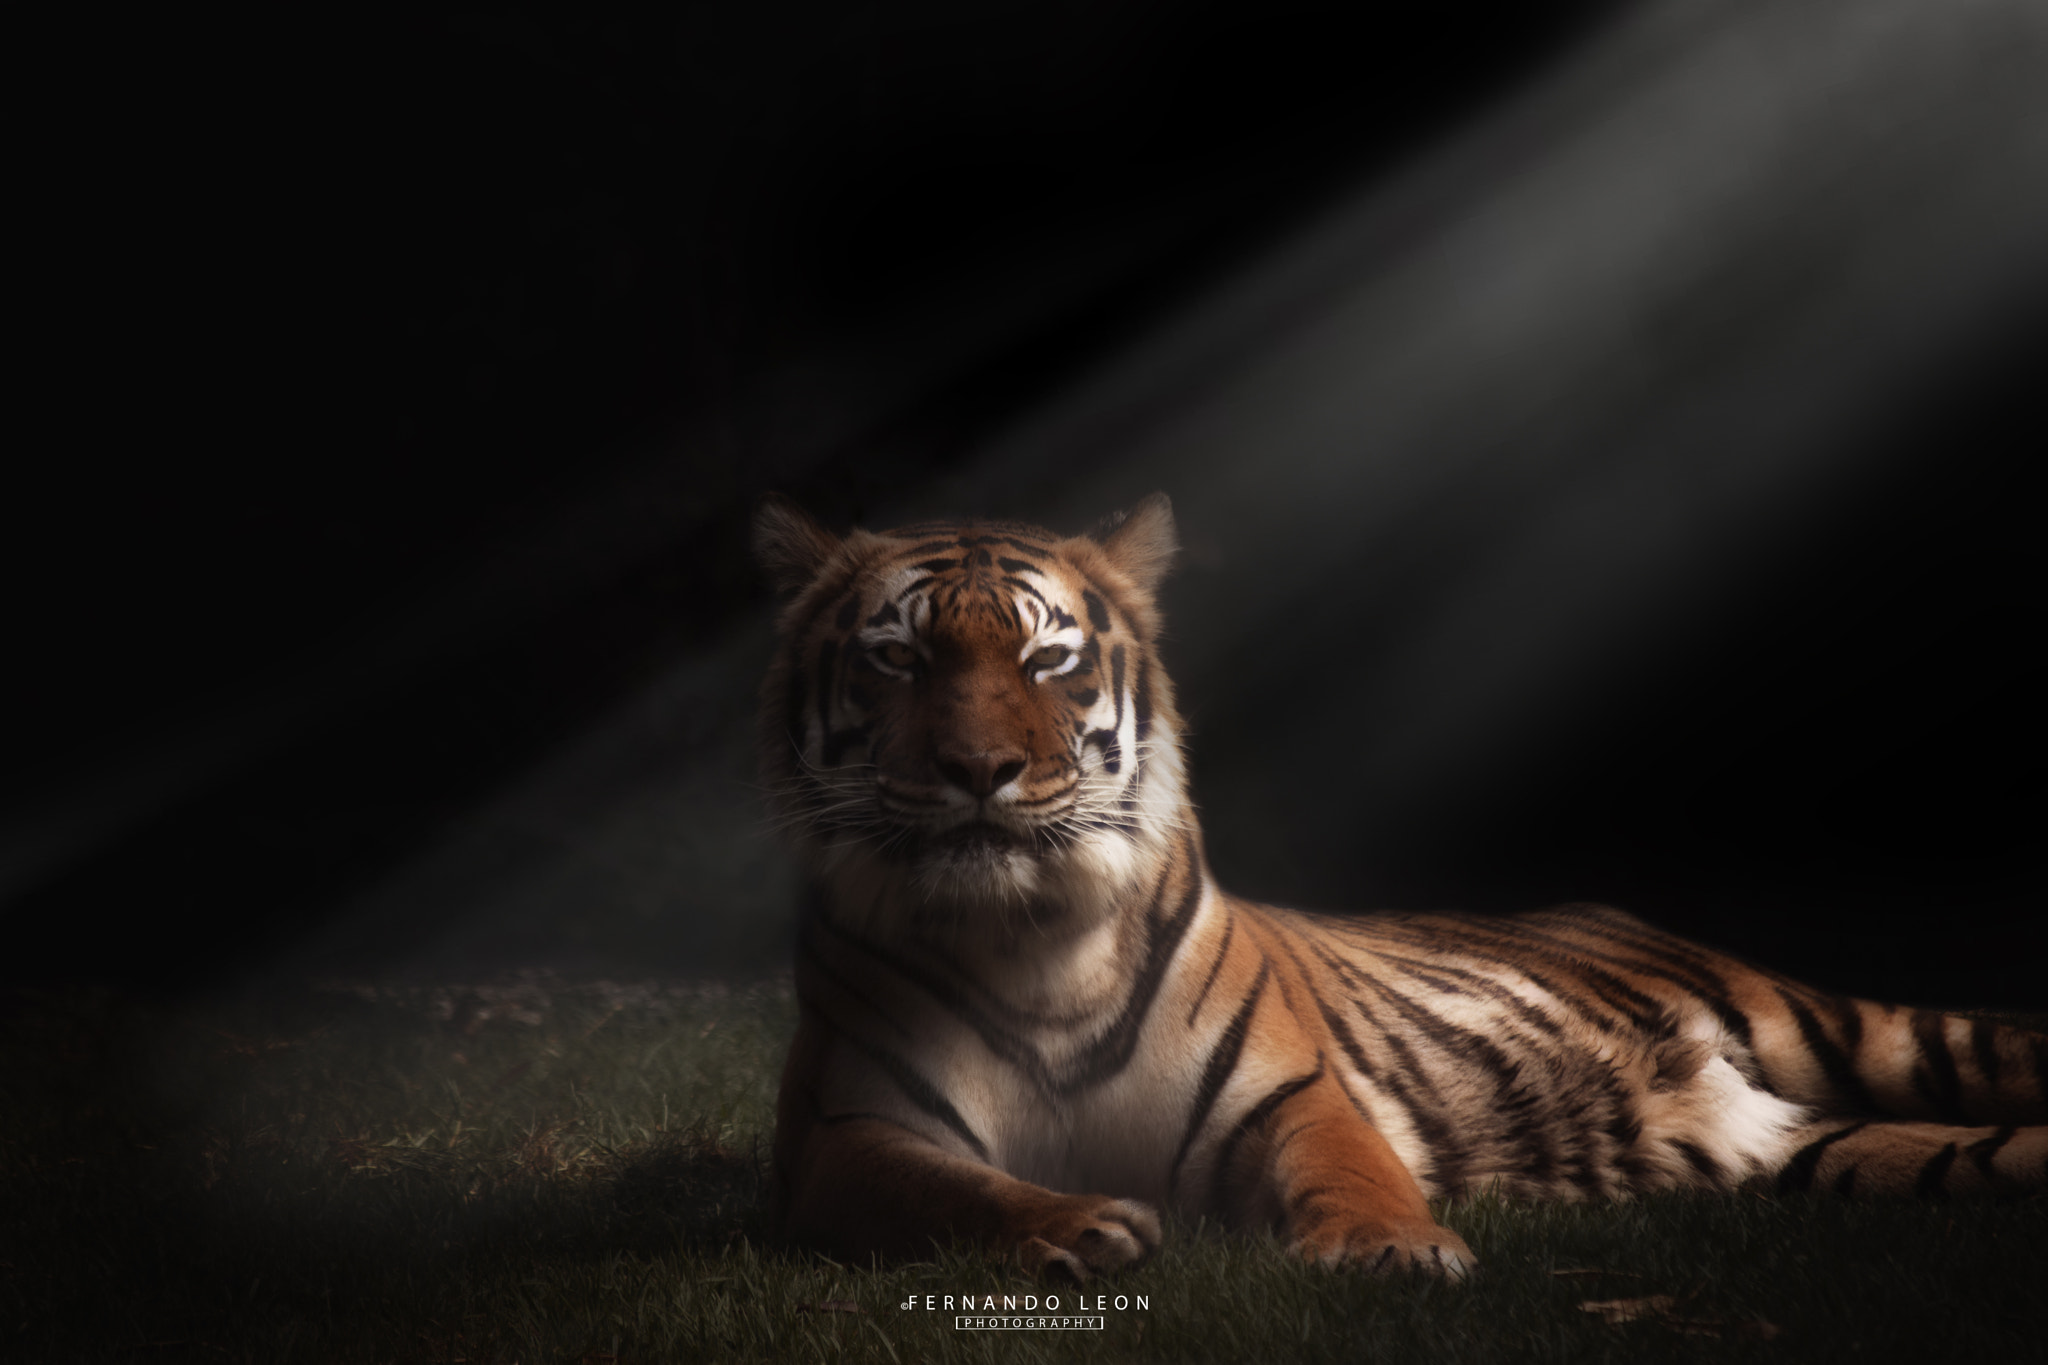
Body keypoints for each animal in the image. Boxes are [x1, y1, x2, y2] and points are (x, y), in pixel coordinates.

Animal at [752, 491, 2047, 1281]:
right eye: (897, 657)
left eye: (1046, 660)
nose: (980, 769)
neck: (1030, 942)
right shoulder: (846, 1132)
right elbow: (945, 1195)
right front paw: (1076, 1227)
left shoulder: (1287, 1096)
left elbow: (1347, 1165)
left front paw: (1392, 1250)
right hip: (1813, 1146)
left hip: (1852, 1030)